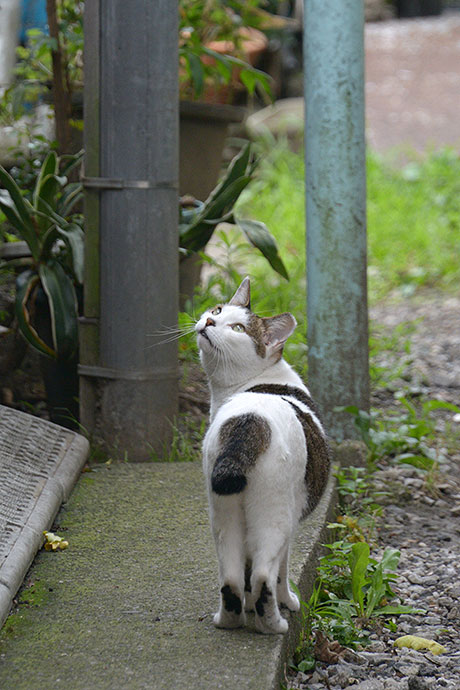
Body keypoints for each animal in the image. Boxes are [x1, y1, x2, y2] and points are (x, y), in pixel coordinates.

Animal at [196, 276, 328, 632]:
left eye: (238, 327)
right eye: (218, 311)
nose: (209, 321)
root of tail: (249, 421)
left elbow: (243, 573)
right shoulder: (292, 525)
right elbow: (280, 571)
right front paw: (289, 602)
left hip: (222, 513)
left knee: (230, 578)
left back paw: (229, 620)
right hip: (274, 514)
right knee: (264, 576)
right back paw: (272, 623)